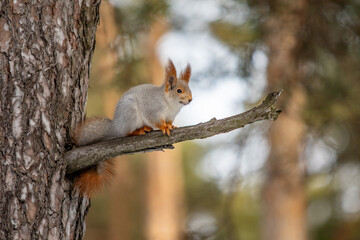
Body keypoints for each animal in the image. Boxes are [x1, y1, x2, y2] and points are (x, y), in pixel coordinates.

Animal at [71, 59, 193, 196]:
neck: (170, 104)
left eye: (189, 89)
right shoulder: (153, 110)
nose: (190, 99)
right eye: (179, 91)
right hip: (131, 113)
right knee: (127, 133)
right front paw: (164, 127)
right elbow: (155, 121)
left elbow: (169, 122)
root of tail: (117, 126)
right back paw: (138, 131)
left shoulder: (171, 116)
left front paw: (172, 125)